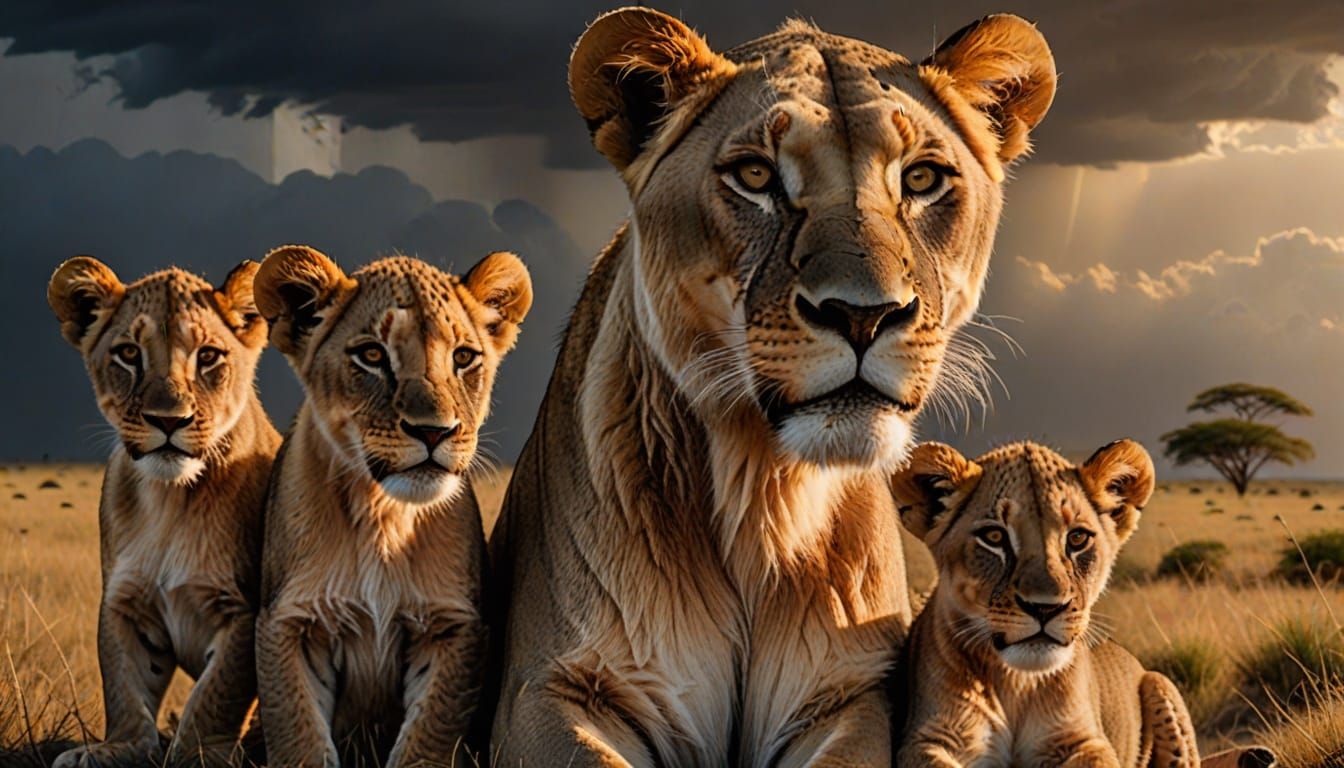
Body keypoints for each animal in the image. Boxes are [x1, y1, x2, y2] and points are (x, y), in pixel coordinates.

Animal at [47, 257, 280, 767]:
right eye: (128, 354)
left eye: (208, 356)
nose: (169, 420)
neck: (172, 500)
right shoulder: (124, 602)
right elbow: (124, 686)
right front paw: (115, 749)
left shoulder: (245, 609)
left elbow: (216, 696)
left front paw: (197, 753)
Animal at [251, 246, 532, 768]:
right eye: (372, 355)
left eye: (464, 357)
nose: (434, 431)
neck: (382, 515)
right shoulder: (289, 623)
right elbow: (300, 739)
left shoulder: (452, 626)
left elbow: (426, 741)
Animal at [488, 7, 1055, 766]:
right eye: (755, 175)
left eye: (923, 178)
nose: (864, 314)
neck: (763, 494)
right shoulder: (552, 689)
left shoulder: (849, 694)